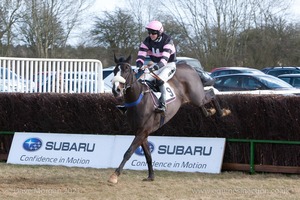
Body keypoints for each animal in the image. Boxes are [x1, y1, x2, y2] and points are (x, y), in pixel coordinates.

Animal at [109, 54, 231, 183]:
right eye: (114, 71)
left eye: (127, 69)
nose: (116, 90)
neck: (138, 99)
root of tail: (188, 66)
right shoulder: (141, 132)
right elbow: (148, 155)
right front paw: (151, 176)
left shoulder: (143, 131)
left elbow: (128, 152)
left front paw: (114, 175)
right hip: (194, 99)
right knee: (205, 104)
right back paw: (210, 111)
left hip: (197, 96)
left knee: (211, 92)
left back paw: (222, 112)